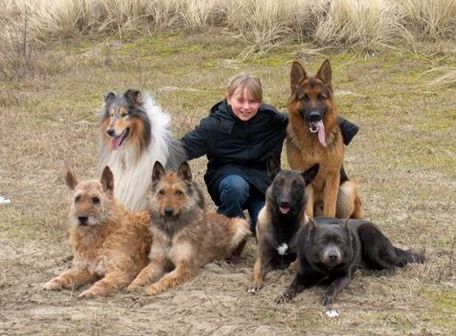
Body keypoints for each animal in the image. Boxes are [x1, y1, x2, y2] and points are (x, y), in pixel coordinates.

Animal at [42, 167, 151, 298]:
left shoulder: (120, 271)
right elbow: (67, 275)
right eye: (77, 198)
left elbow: (103, 283)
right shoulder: (85, 269)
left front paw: (90, 291)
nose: (82, 218)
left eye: (96, 199)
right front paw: (54, 281)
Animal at [126, 161, 251, 296]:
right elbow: (144, 272)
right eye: (162, 192)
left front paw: (153, 287)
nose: (168, 211)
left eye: (178, 192)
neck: (172, 230)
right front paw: (134, 284)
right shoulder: (157, 261)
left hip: (240, 223)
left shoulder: (185, 267)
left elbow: (167, 277)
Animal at [248, 156, 318, 292]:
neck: (284, 223)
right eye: (279, 183)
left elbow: (293, 265)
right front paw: (256, 284)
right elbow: (257, 269)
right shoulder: (262, 255)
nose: (284, 202)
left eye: (297, 186)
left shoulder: (299, 257)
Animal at [274, 217, 424, 306]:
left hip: (368, 235)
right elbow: (292, 286)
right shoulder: (303, 276)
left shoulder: (344, 276)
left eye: (340, 242)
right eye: (322, 242)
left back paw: (382, 272)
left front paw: (327, 296)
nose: (333, 256)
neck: (326, 268)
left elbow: (333, 285)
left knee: (393, 265)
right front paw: (283, 296)